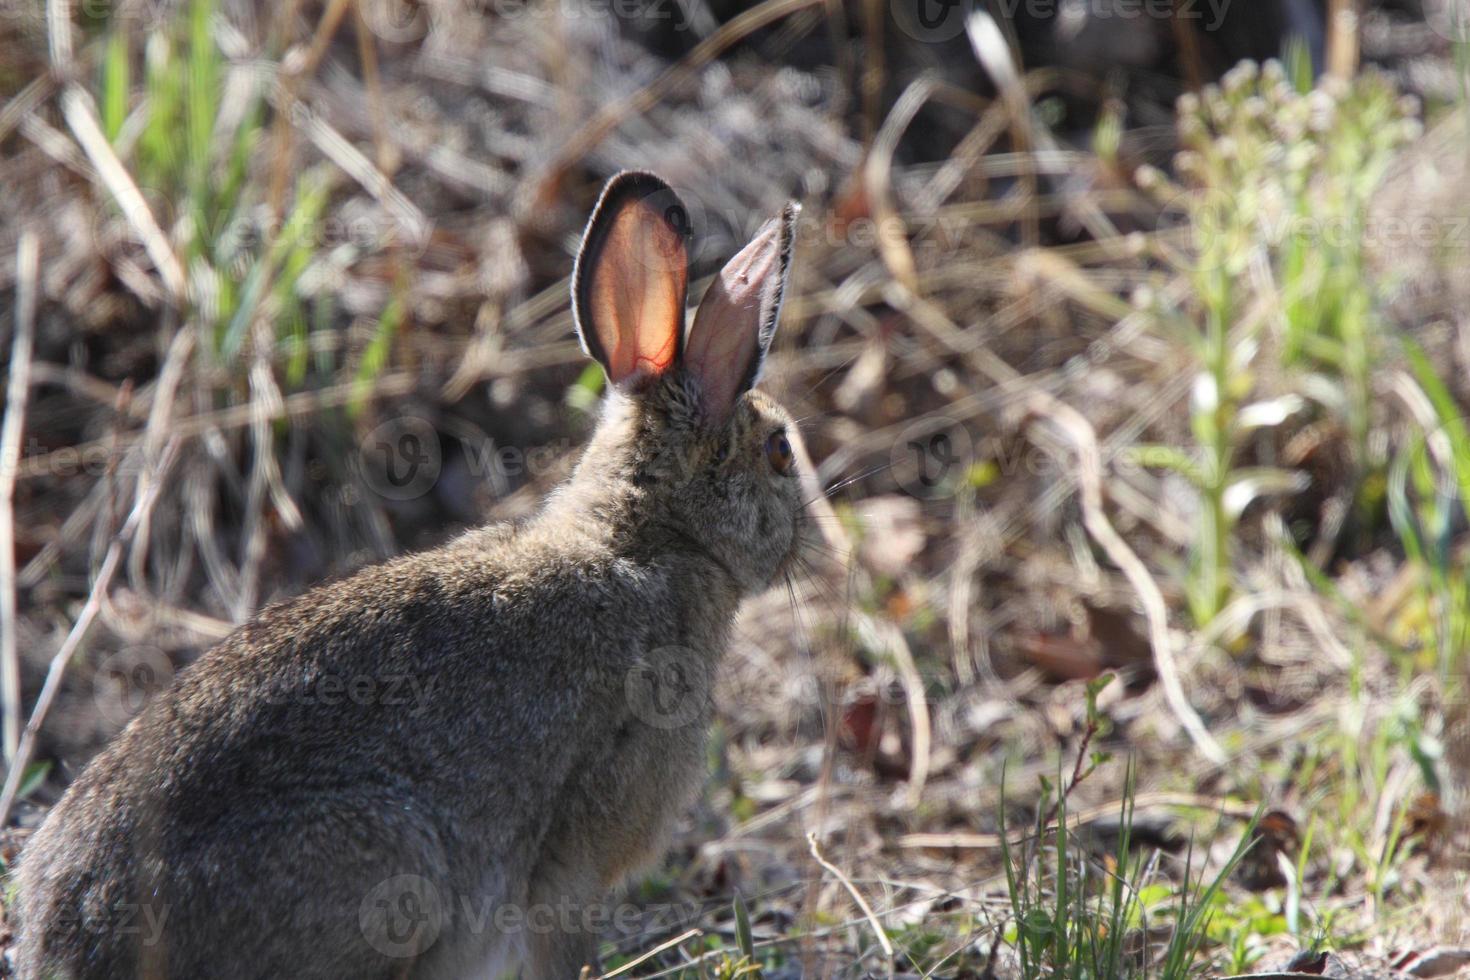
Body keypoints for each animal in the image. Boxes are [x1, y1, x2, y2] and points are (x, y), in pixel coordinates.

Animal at [11, 176, 811, 980]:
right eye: (779, 451)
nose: (807, 539)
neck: (645, 539)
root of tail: (75, 943)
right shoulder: (574, 858)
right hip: (394, 871)